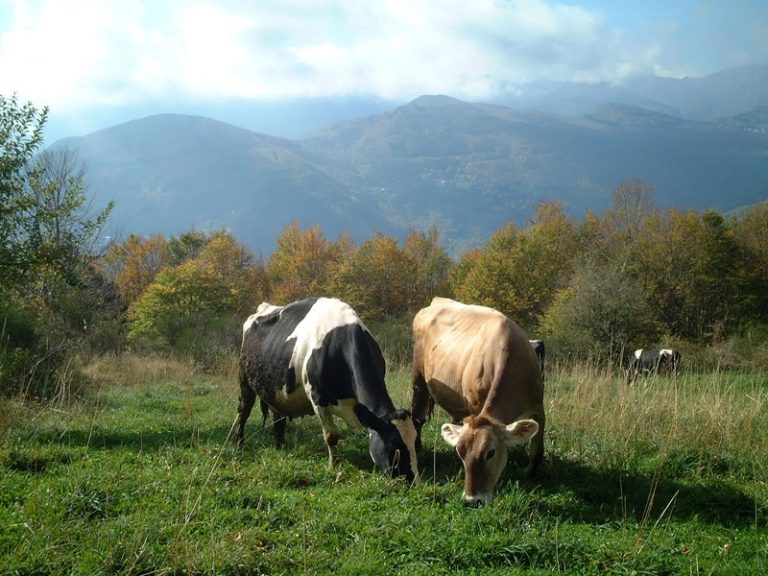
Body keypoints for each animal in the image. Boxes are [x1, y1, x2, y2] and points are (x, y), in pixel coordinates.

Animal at [237, 300, 420, 484]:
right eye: (393, 447)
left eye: (416, 442)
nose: (414, 482)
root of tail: (264, 307)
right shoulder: (318, 398)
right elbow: (331, 435)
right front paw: (333, 466)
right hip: (244, 380)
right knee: (244, 411)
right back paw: (239, 443)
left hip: (276, 392)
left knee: (278, 417)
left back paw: (279, 446)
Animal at [412, 296, 544, 504]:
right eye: (461, 452)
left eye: (490, 453)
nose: (472, 499)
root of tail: (437, 301)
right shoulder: (475, 407)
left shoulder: (538, 404)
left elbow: (538, 448)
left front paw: (529, 473)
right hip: (418, 376)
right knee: (417, 415)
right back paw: (417, 447)